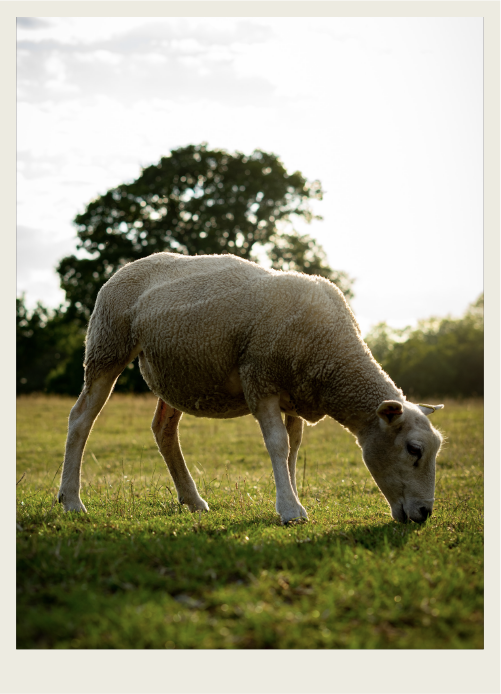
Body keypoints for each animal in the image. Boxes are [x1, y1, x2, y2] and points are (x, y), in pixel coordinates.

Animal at [58, 251, 444, 524]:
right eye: (414, 449)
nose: (425, 514)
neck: (332, 355)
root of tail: (127, 267)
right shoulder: (261, 379)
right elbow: (277, 445)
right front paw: (290, 509)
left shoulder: (294, 393)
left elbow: (293, 448)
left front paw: (292, 497)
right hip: (108, 344)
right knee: (80, 419)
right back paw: (71, 500)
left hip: (178, 371)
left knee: (163, 429)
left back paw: (193, 500)